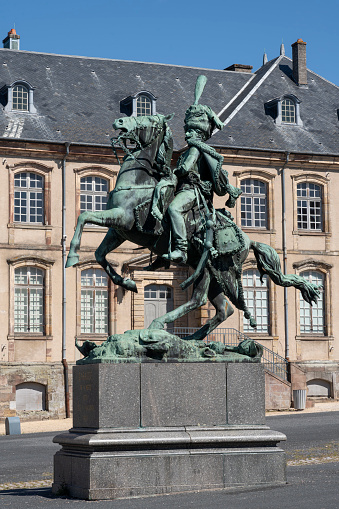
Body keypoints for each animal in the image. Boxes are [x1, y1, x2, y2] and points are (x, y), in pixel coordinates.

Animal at [67, 113, 322, 340]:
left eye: (147, 118)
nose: (119, 120)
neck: (140, 181)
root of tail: (249, 240)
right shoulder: (118, 231)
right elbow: (99, 254)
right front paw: (126, 282)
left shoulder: (123, 219)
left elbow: (84, 216)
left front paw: (71, 256)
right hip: (212, 274)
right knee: (222, 308)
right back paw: (192, 337)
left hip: (218, 271)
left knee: (200, 300)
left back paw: (161, 325)